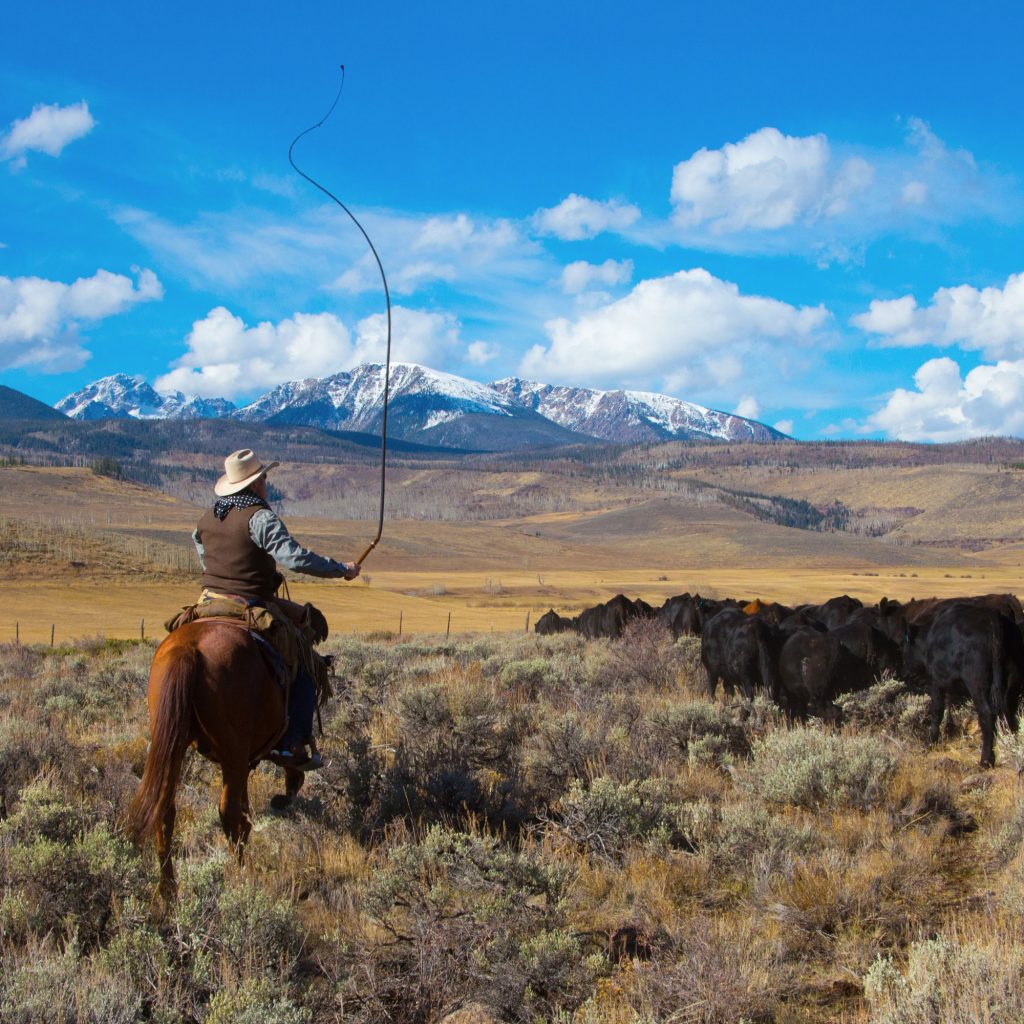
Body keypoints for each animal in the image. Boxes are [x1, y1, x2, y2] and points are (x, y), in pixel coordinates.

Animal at [127, 614, 303, 897]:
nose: (293, 785)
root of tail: (187, 649)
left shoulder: (243, 761)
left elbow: (245, 806)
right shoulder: (243, 758)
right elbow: (241, 808)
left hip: (173, 743)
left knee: (165, 809)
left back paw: (169, 891)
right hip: (231, 753)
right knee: (227, 810)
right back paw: (240, 876)